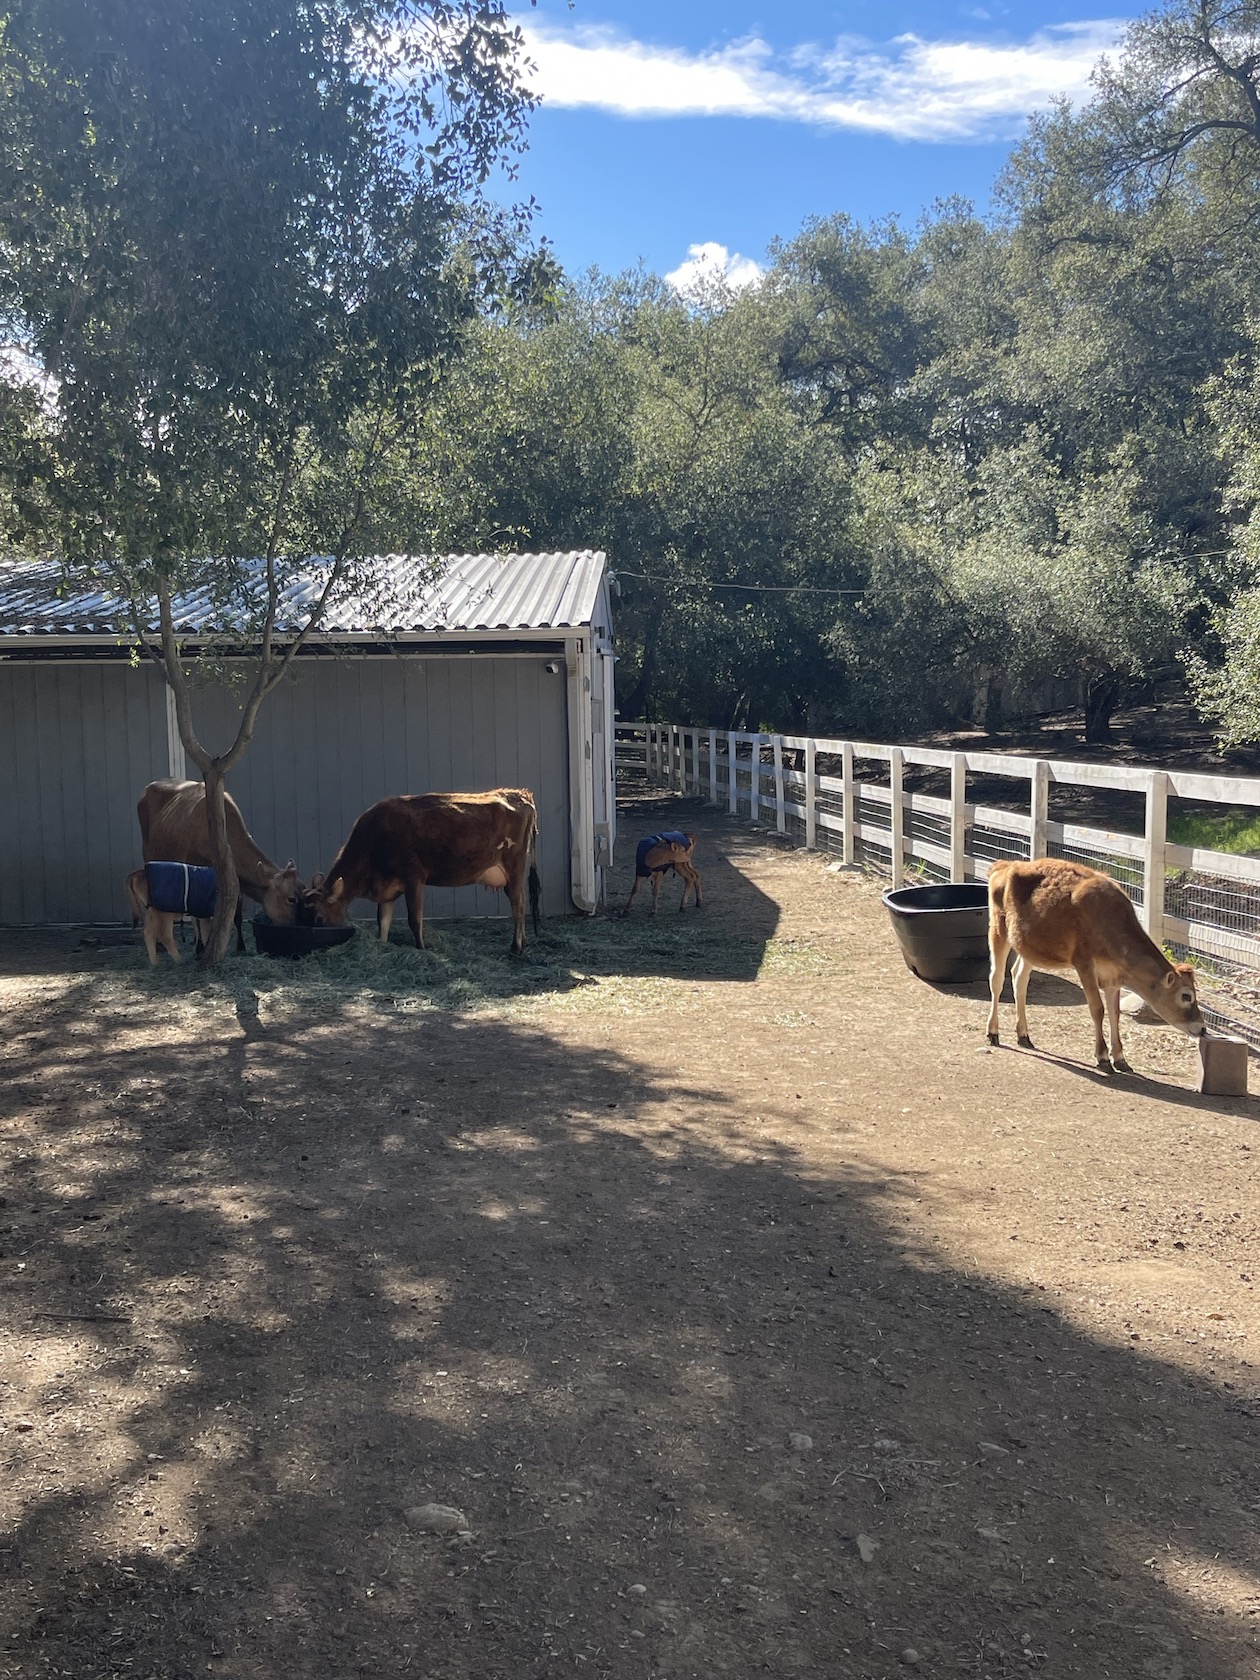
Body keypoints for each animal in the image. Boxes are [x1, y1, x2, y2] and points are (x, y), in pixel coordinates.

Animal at [137, 779, 305, 954]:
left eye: (304, 889)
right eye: (291, 899)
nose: (301, 924)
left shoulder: (235, 878)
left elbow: (236, 914)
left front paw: (240, 947)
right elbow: (200, 916)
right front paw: (201, 948)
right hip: (149, 856)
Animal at [309, 789, 544, 960]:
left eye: (319, 917)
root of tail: (517, 794)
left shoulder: (414, 877)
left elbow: (415, 919)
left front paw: (421, 949)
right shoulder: (387, 887)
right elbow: (383, 921)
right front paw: (382, 946)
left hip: (514, 865)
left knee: (518, 904)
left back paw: (516, 948)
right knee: (522, 901)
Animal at [994, 860, 1209, 1068]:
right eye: (1186, 996)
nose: (1202, 1028)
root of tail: (1005, 865)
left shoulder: (1113, 975)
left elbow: (1115, 1013)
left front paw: (1120, 1058)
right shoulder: (1084, 963)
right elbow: (1097, 1009)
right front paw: (1103, 1057)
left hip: (1028, 948)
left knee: (1019, 979)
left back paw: (1023, 1035)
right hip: (998, 929)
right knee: (996, 979)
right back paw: (993, 1032)